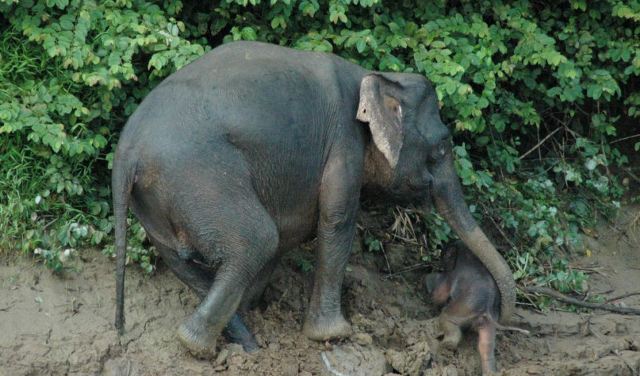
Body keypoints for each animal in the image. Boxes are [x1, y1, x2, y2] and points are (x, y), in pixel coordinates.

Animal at [114, 41, 516, 356]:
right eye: (443, 146)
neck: (375, 76)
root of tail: (126, 153)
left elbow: (291, 234)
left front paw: (255, 303)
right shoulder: (343, 144)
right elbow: (336, 219)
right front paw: (333, 336)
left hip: (155, 205)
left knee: (187, 258)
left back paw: (242, 337)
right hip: (200, 178)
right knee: (257, 239)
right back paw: (197, 345)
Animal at [424, 242, 528, 374]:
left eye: (445, 252)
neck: (466, 252)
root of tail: (486, 309)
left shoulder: (450, 276)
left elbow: (440, 294)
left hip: (461, 309)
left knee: (447, 319)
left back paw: (445, 347)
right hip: (488, 325)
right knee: (486, 346)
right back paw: (490, 372)